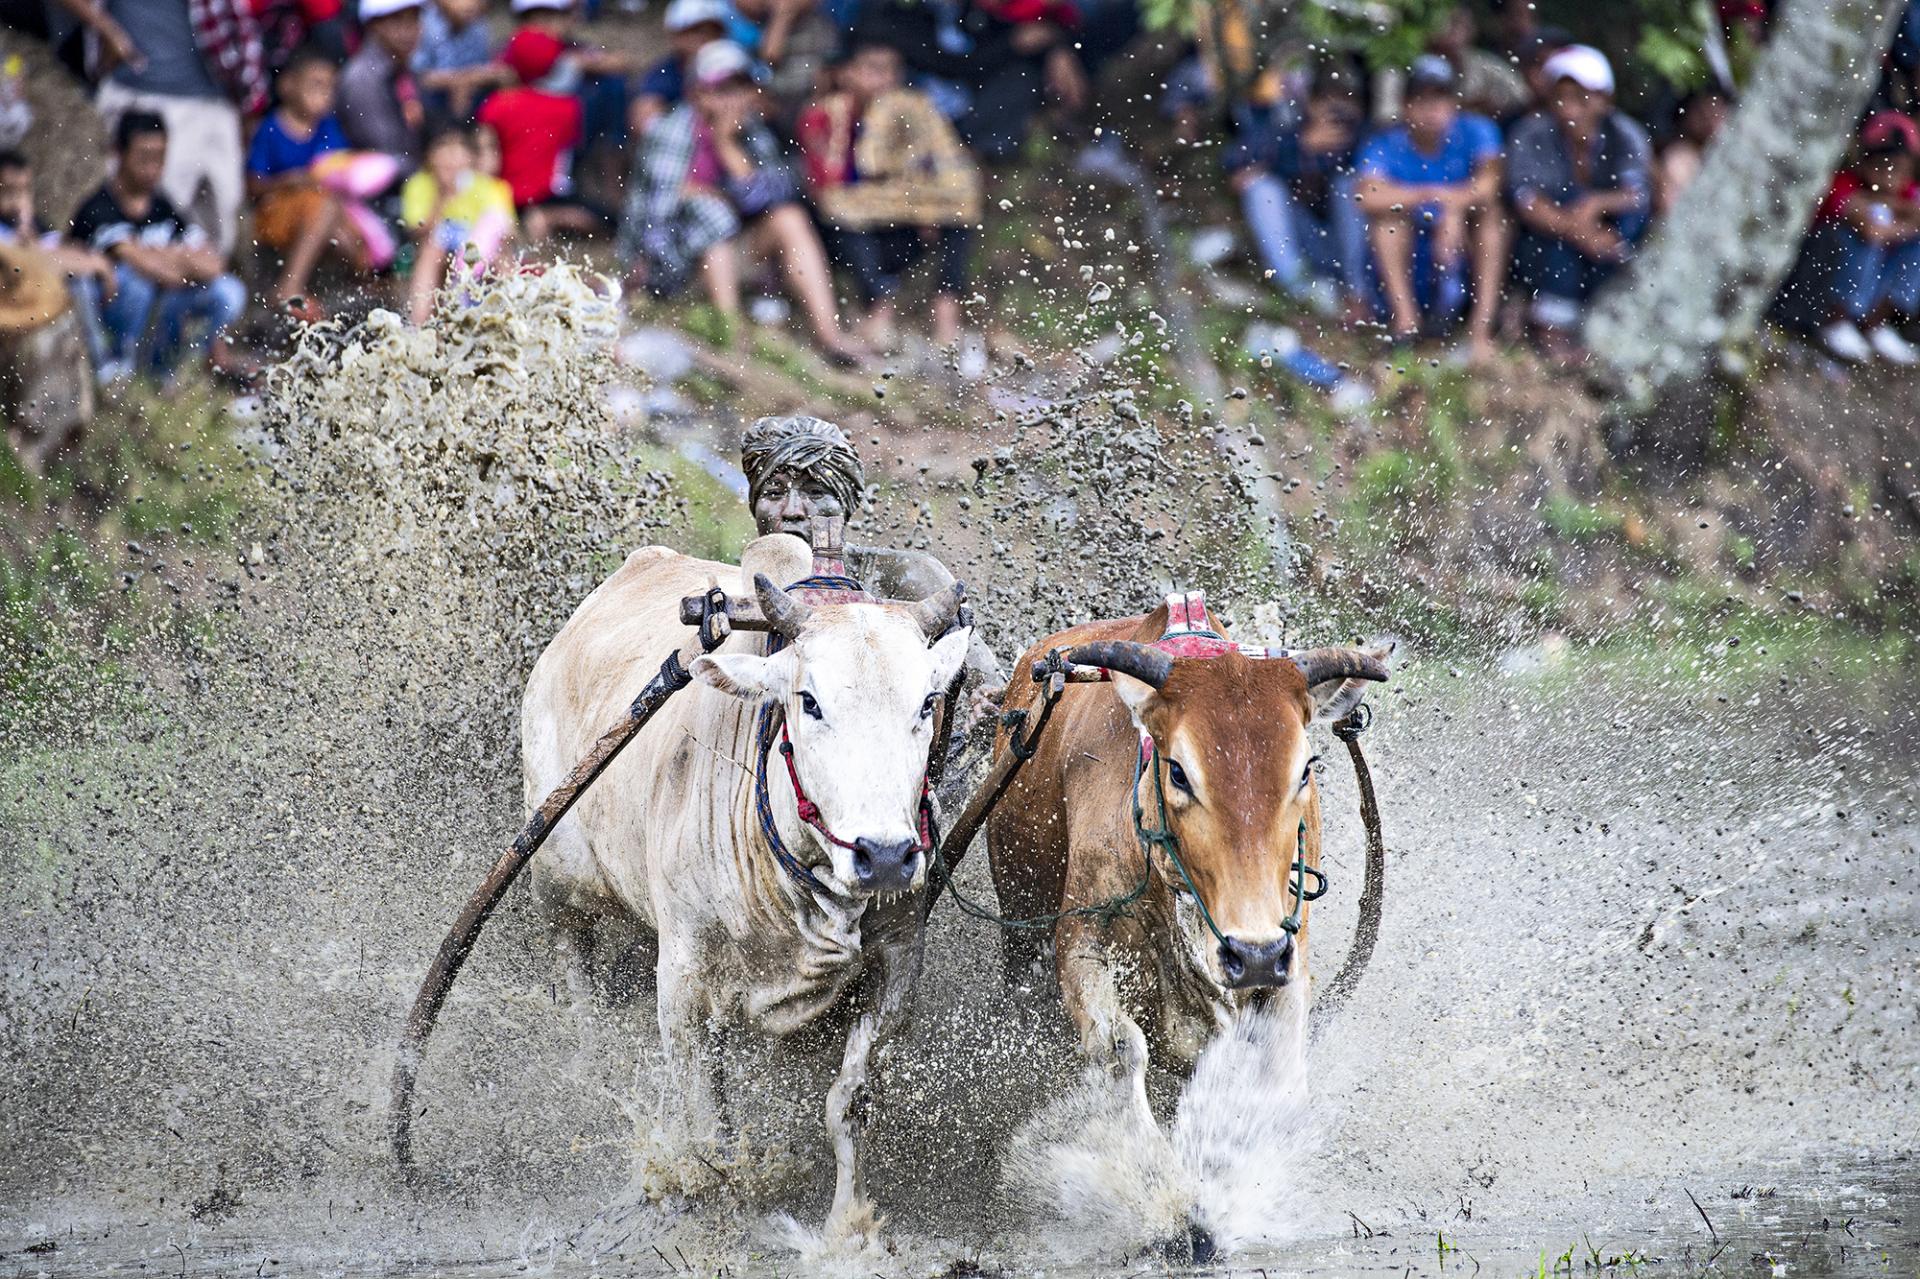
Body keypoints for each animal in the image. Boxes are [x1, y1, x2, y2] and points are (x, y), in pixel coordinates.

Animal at [518, 526, 967, 1236]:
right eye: (808, 701)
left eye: (927, 702)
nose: (887, 856)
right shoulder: (681, 973)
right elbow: (697, 1110)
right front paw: (701, 1195)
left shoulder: (898, 964)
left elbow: (848, 1102)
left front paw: (845, 1221)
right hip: (561, 890)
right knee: (582, 996)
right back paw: (592, 1077)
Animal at [983, 591, 1390, 1113]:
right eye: (1178, 771)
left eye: (1304, 769)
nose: (1253, 955)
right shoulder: (1080, 941)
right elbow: (1119, 1050)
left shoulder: (1287, 957)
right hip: (1020, 920)